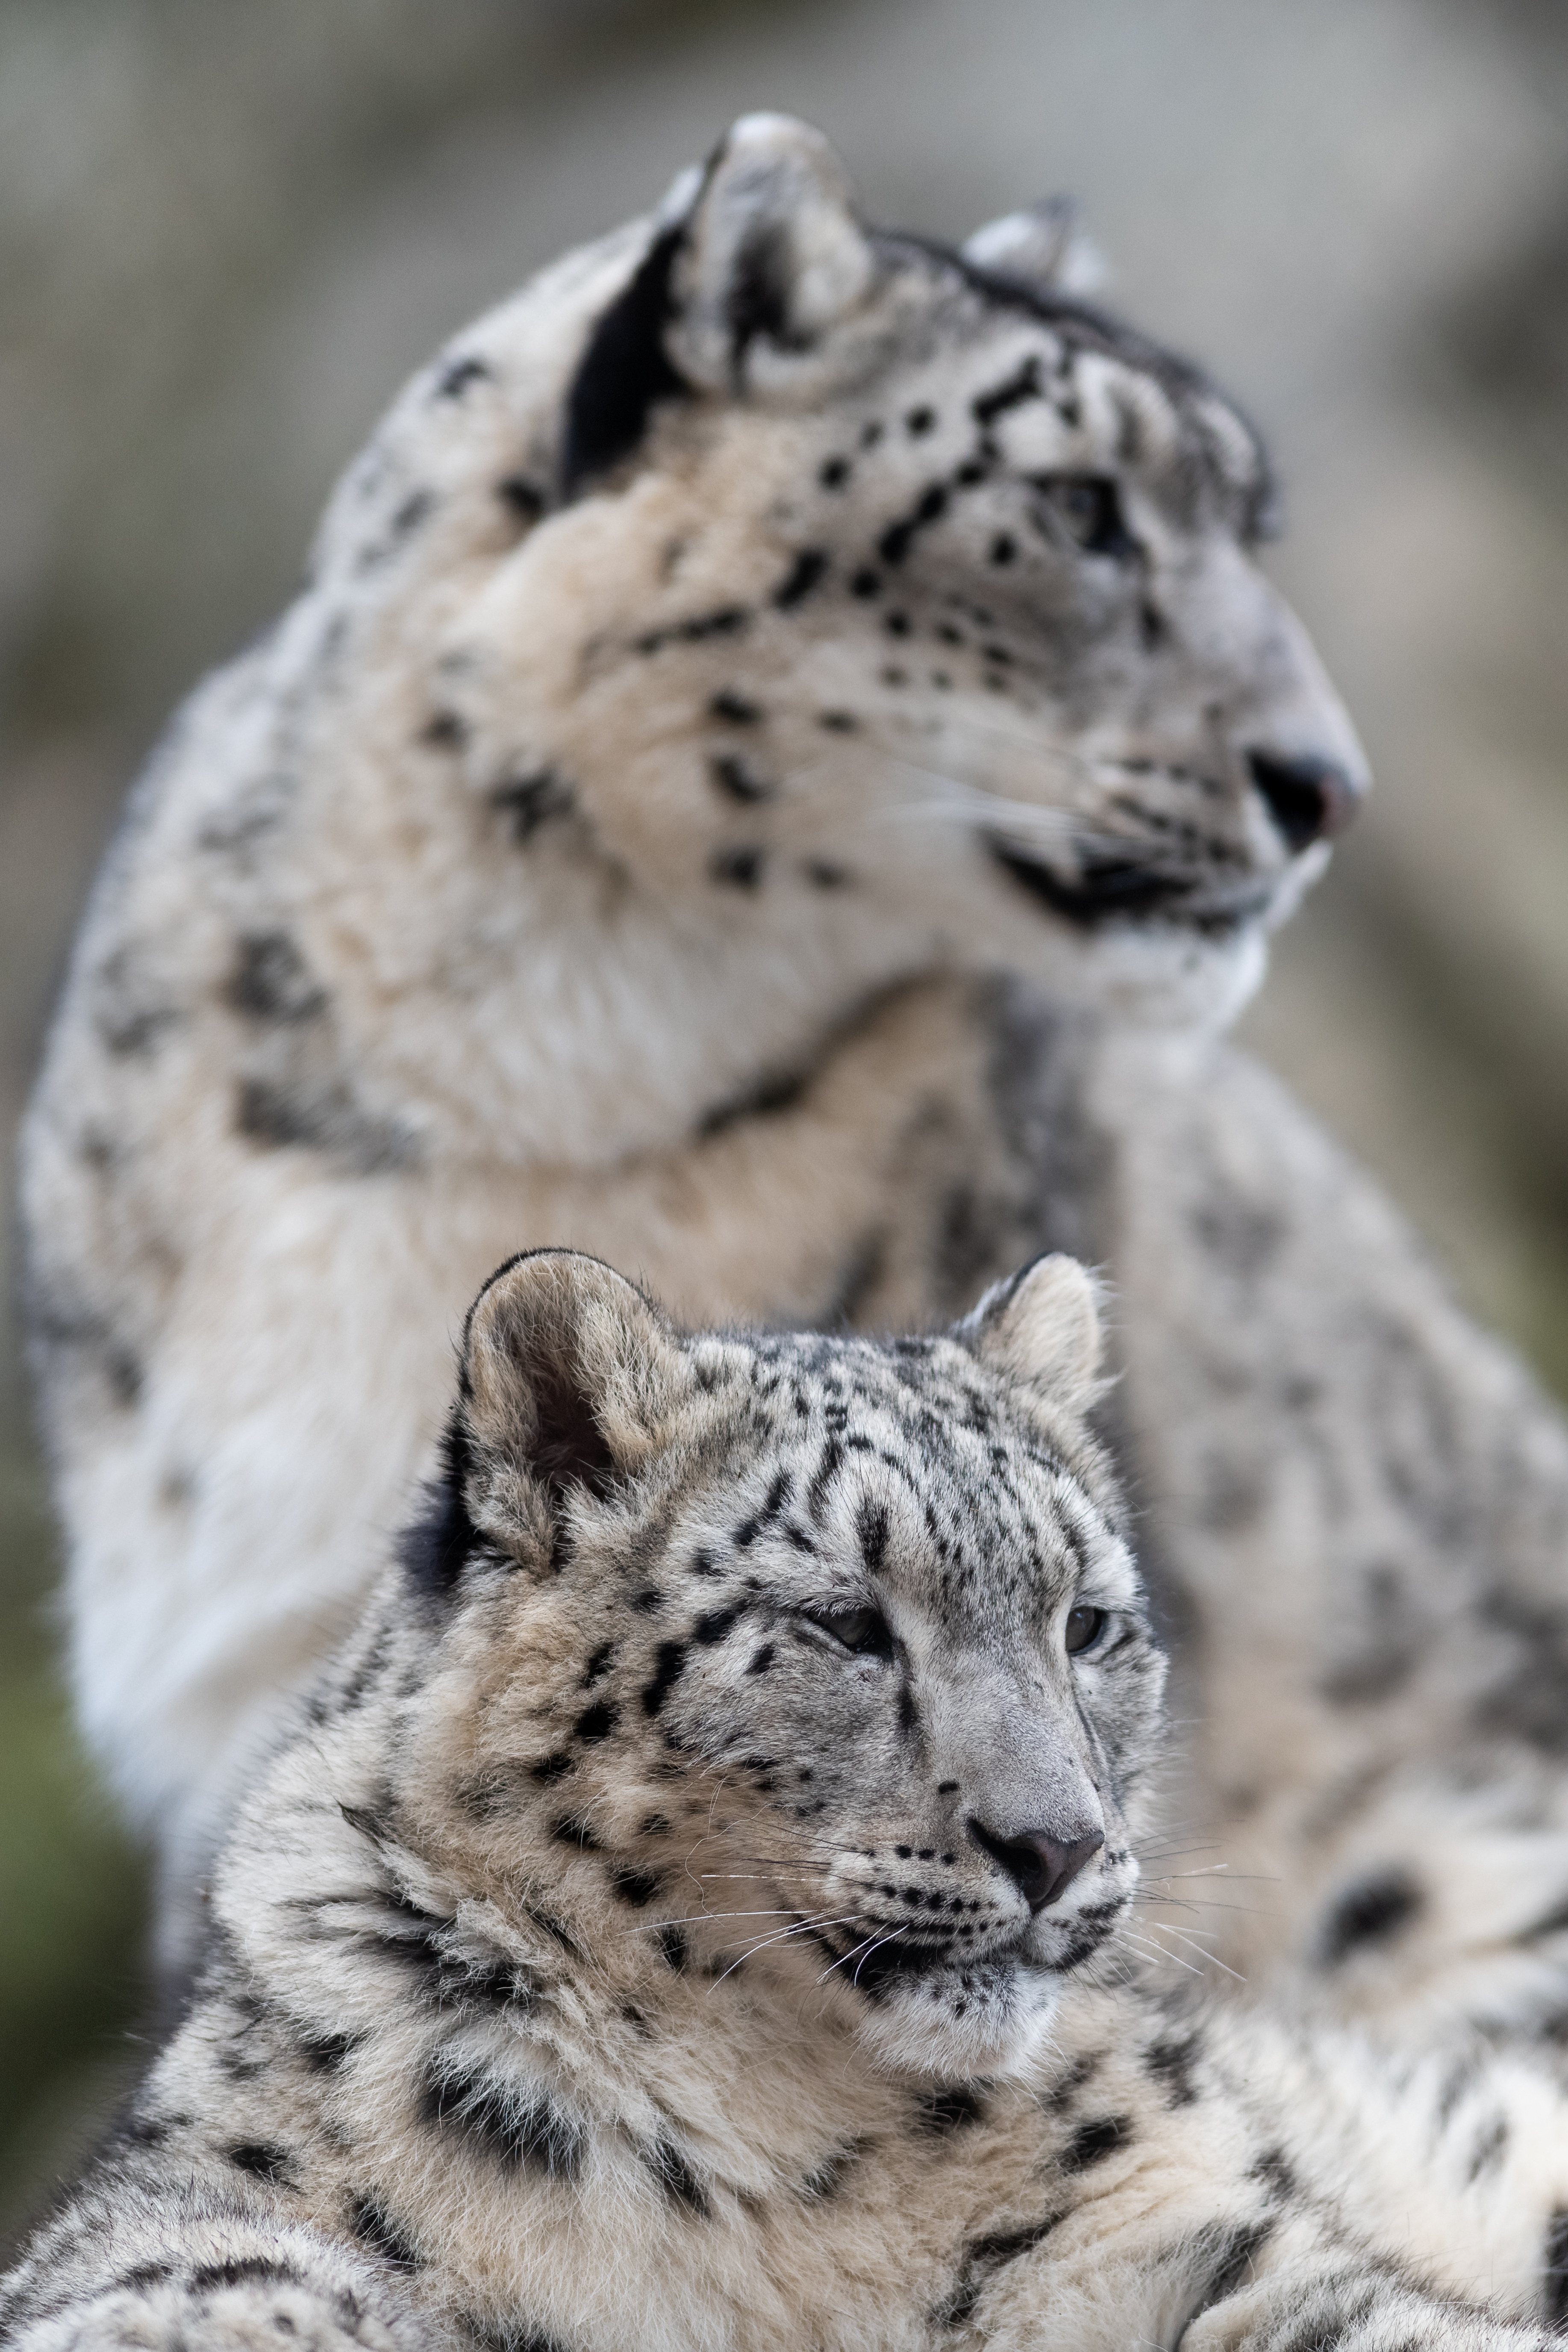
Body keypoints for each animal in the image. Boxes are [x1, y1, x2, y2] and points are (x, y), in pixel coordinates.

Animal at [9, 1260, 1568, 2352]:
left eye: (1085, 1623)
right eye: (845, 1622)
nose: (1055, 1843)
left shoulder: (1199, 2241)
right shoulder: (206, 2185)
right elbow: (188, 2258)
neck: (790, 2154)